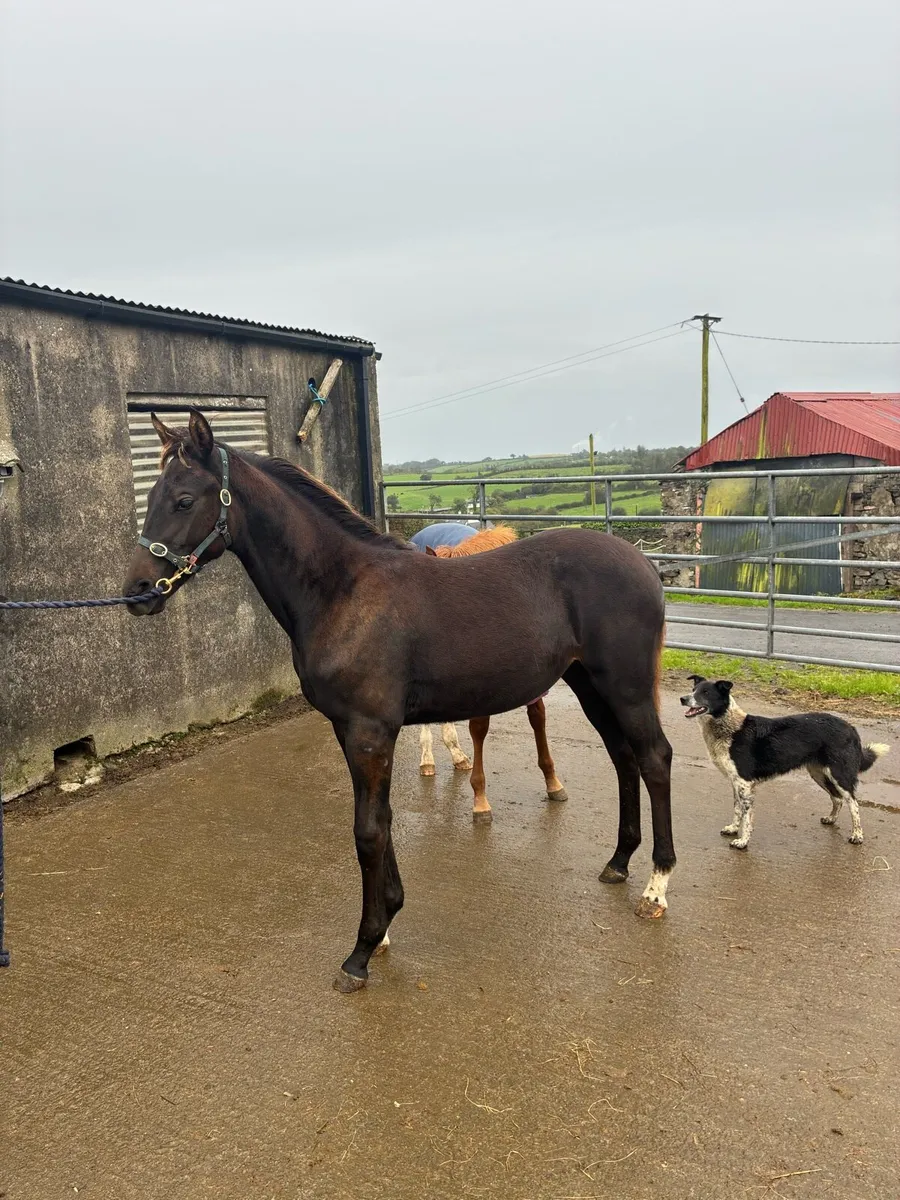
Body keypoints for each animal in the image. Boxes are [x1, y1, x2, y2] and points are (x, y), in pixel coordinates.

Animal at [411, 522, 567, 821]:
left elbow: (538, 720)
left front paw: (553, 783)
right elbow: (479, 729)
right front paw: (480, 801)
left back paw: (457, 756)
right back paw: (428, 760)